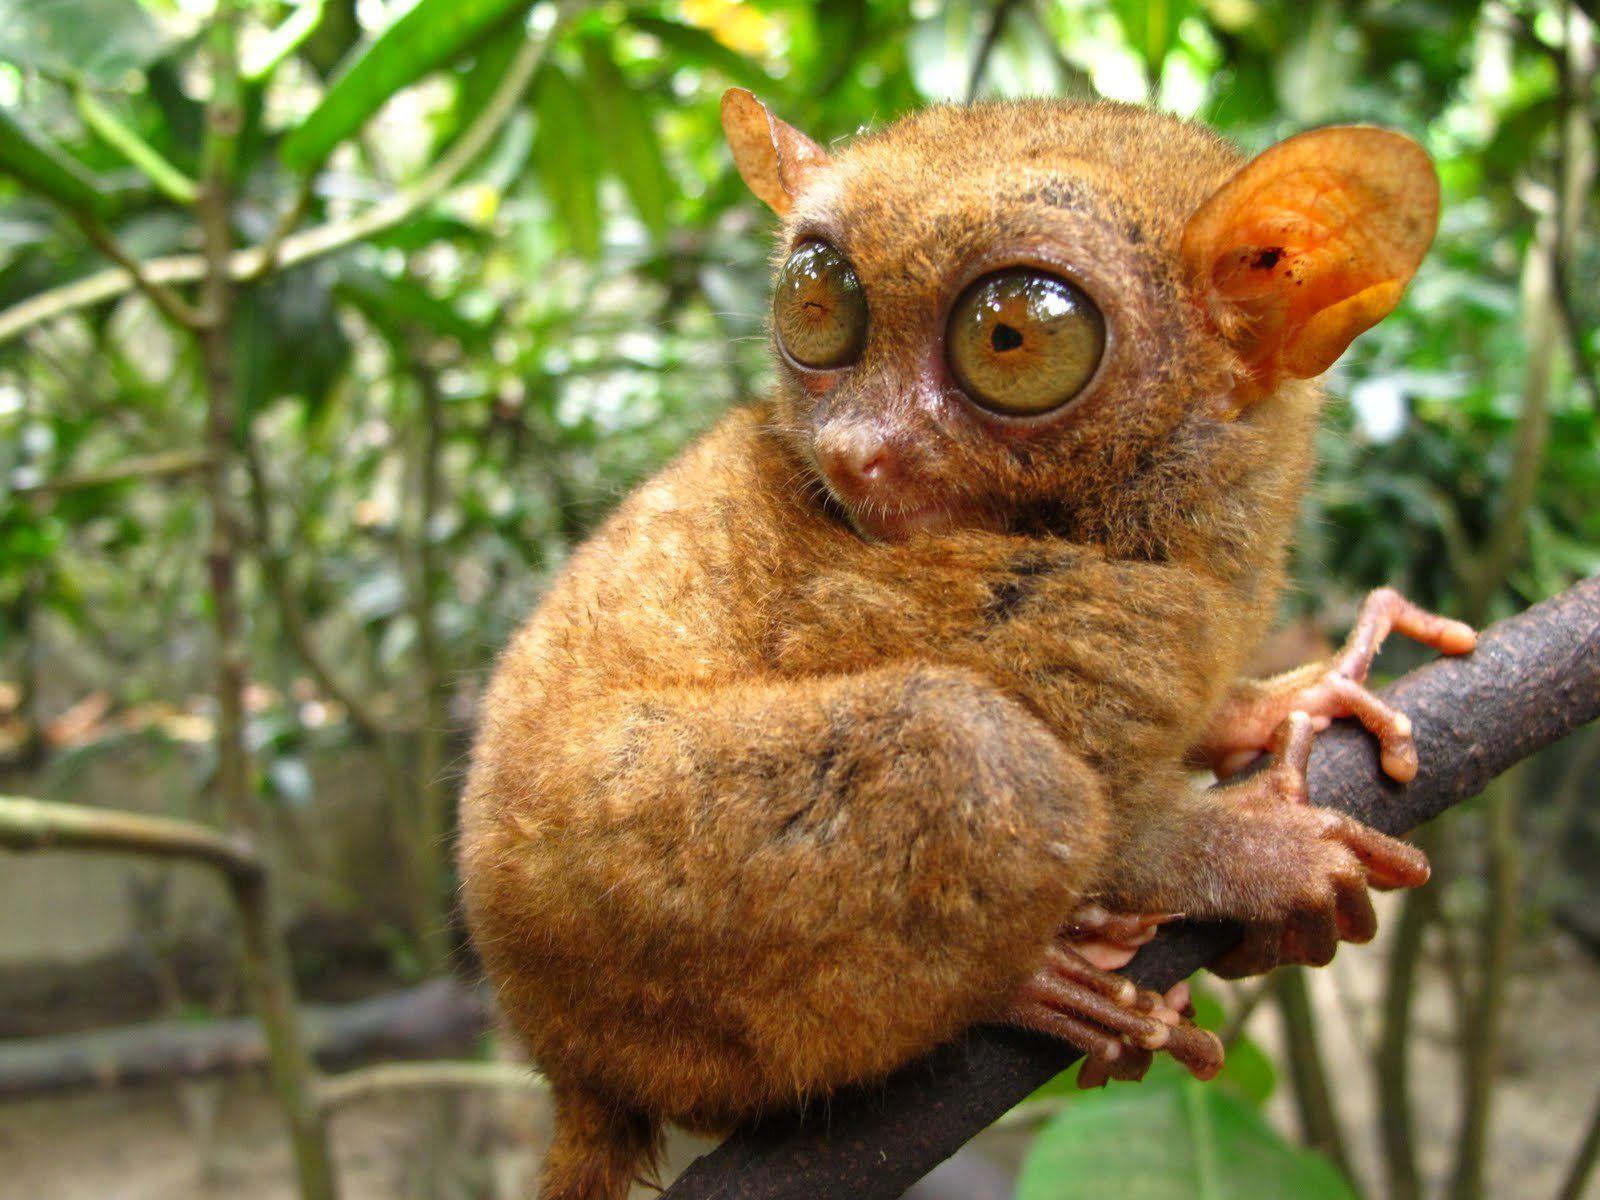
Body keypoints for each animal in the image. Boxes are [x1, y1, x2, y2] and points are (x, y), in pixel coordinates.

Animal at [458, 92, 1477, 1199]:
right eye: (816, 304)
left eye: (1012, 338)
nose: (854, 450)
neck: (1132, 535)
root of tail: (563, 1063)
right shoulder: (1107, 621)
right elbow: (1112, 829)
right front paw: (1258, 860)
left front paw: (1296, 697)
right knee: (975, 754)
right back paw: (1036, 986)